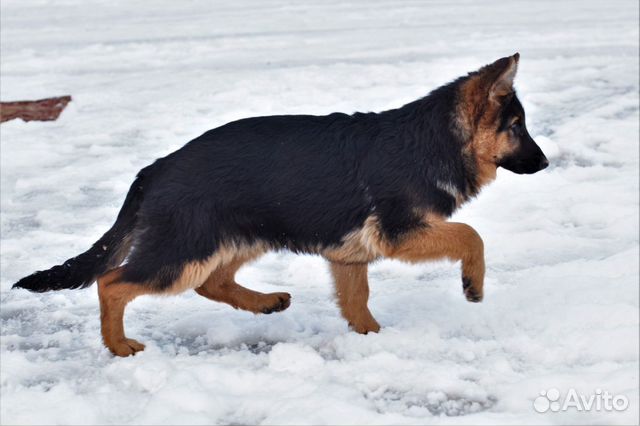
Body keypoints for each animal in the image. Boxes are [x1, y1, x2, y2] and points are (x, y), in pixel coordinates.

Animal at [12, 53, 548, 356]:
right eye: (516, 127)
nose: (545, 163)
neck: (432, 141)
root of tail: (156, 167)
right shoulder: (401, 233)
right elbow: (472, 236)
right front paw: (473, 286)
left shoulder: (349, 255)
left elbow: (357, 304)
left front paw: (373, 340)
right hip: (184, 250)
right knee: (113, 283)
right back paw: (118, 345)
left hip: (240, 236)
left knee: (211, 282)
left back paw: (265, 302)